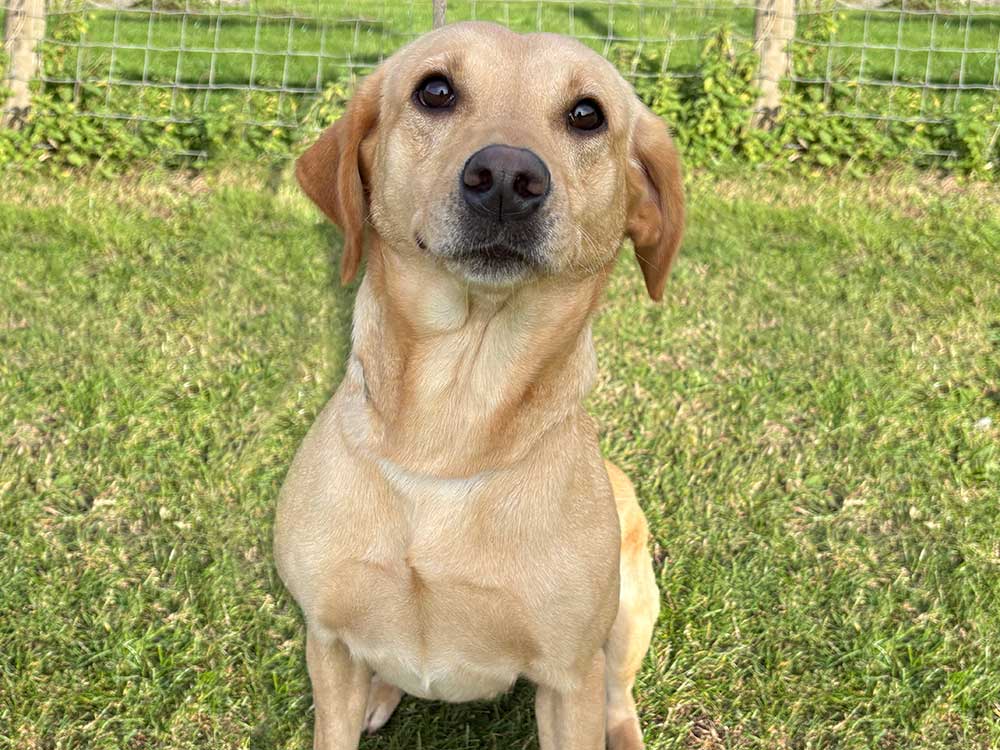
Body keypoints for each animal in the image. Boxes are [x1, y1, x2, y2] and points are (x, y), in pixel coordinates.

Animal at [275, 21, 684, 750]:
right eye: (434, 90)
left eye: (587, 114)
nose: (507, 179)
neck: (449, 435)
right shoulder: (328, 641)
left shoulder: (568, 679)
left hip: (631, 608)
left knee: (619, 694)